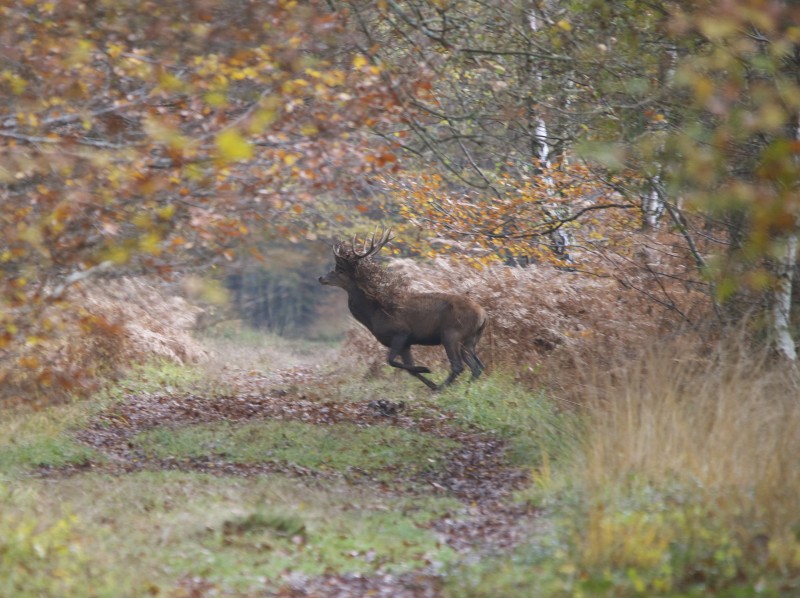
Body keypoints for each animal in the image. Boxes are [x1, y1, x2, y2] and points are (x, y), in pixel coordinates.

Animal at [318, 227, 488, 392]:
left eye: (340, 270)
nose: (321, 278)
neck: (374, 314)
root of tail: (483, 315)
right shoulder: (406, 343)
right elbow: (409, 368)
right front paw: (428, 379)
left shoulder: (401, 332)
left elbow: (391, 361)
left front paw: (426, 369)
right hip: (470, 339)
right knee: (478, 366)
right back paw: (463, 389)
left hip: (451, 333)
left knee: (459, 366)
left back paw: (441, 388)